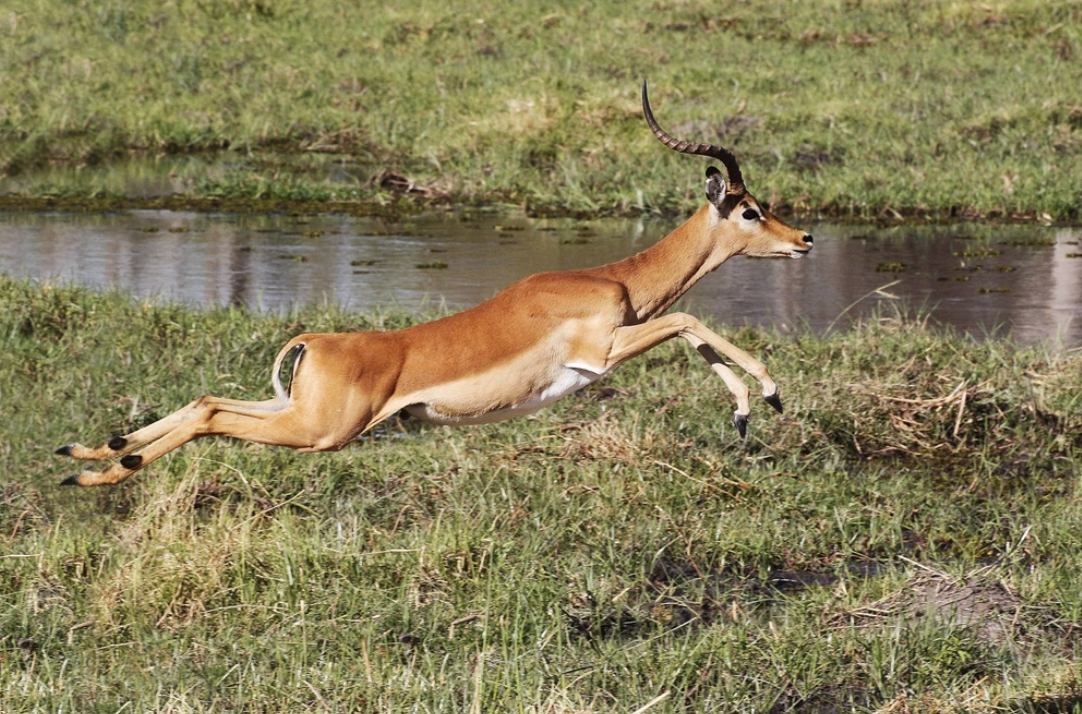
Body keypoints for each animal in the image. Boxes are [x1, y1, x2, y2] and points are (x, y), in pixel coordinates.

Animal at [56, 81, 813, 487]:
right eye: (749, 209)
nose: (804, 240)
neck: (611, 278)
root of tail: (316, 341)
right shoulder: (601, 351)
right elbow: (690, 324)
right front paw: (766, 397)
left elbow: (695, 336)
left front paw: (746, 412)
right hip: (321, 432)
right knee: (211, 416)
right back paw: (103, 470)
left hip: (289, 411)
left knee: (204, 399)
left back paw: (89, 458)